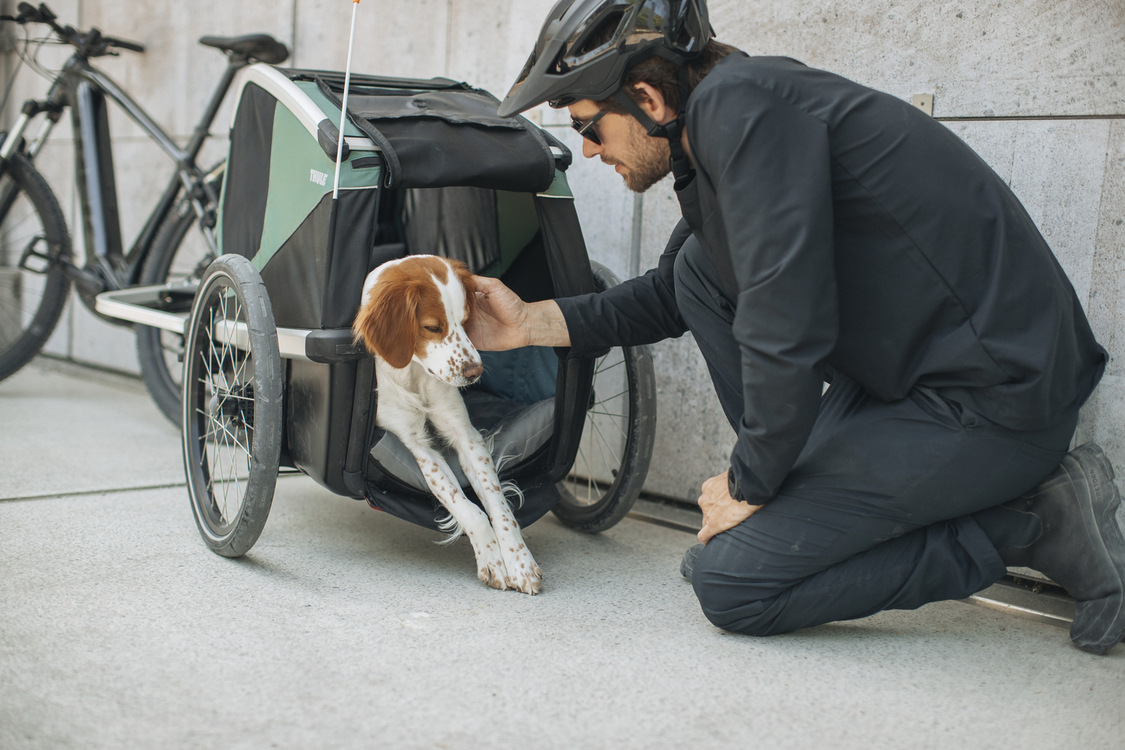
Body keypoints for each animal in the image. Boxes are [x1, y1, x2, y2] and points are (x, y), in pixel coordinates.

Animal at [353, 255, 542, 593]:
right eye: (432, 327)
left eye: (466, 321)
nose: (475, 372)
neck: (414, 374)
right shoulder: (417, 445)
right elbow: (468, 508)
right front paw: (492, 560)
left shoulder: (465, 435)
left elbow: (499, 506)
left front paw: (519, 561)